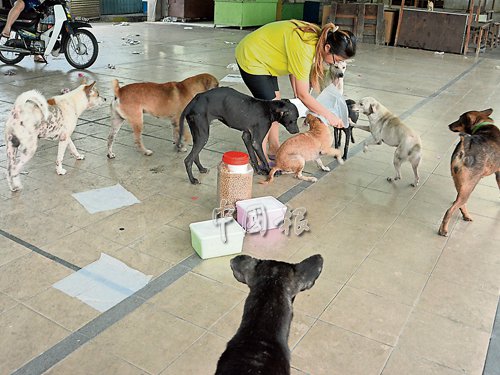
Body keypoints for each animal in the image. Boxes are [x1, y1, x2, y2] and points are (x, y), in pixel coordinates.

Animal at [438, 108, 500, 236]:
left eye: (459, 119)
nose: (449, 125)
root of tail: (464, 146)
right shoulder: (499, 173)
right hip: (470, 185)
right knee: (450, 210)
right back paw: (444, 229)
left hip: (461, 184)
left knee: (460, 203)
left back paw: (466, 216)